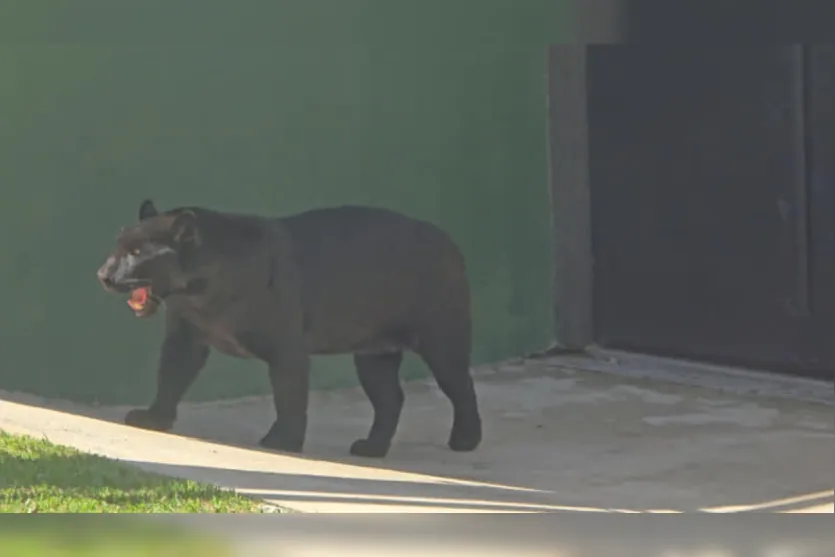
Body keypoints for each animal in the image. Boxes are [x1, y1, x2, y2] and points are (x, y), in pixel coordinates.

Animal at [97, 199, 484, 456]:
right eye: (118, 246)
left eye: (136, 252)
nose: (103, 274)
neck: (199, 292)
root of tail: (447, 240)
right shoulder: (185, 339)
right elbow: (170, 377)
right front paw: (154, 418)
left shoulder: (286, 348)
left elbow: (289, 395)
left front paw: (283, 441)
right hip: (373, 356)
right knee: (391, 399)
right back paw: (371, 447)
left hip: (441, 342)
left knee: (461, 386)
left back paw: (466, 440)